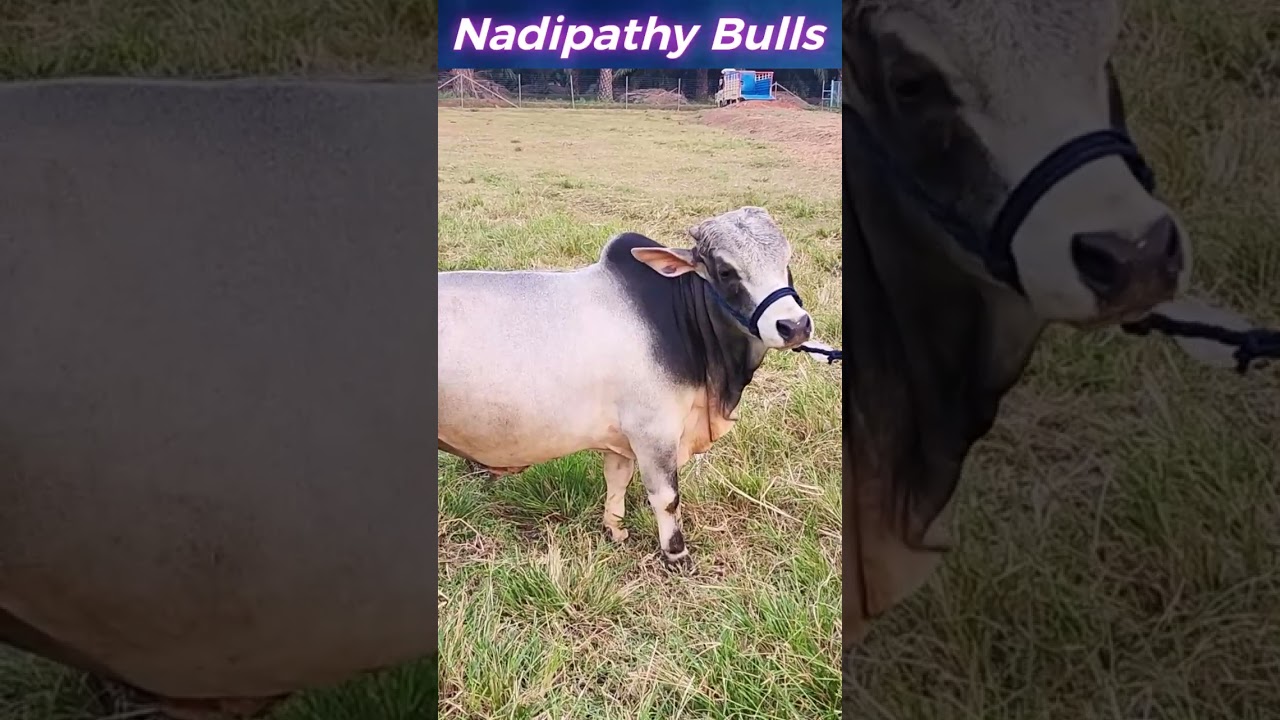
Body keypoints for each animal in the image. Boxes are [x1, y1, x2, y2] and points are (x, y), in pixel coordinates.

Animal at [438, 206, 818, 567]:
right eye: (726, 271)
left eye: (787, 258)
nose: (794, 325)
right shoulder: (655, 433)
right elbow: (667, 499)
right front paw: (676, 553)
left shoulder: (621, 440)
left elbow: (617, 480)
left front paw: (615, 529)